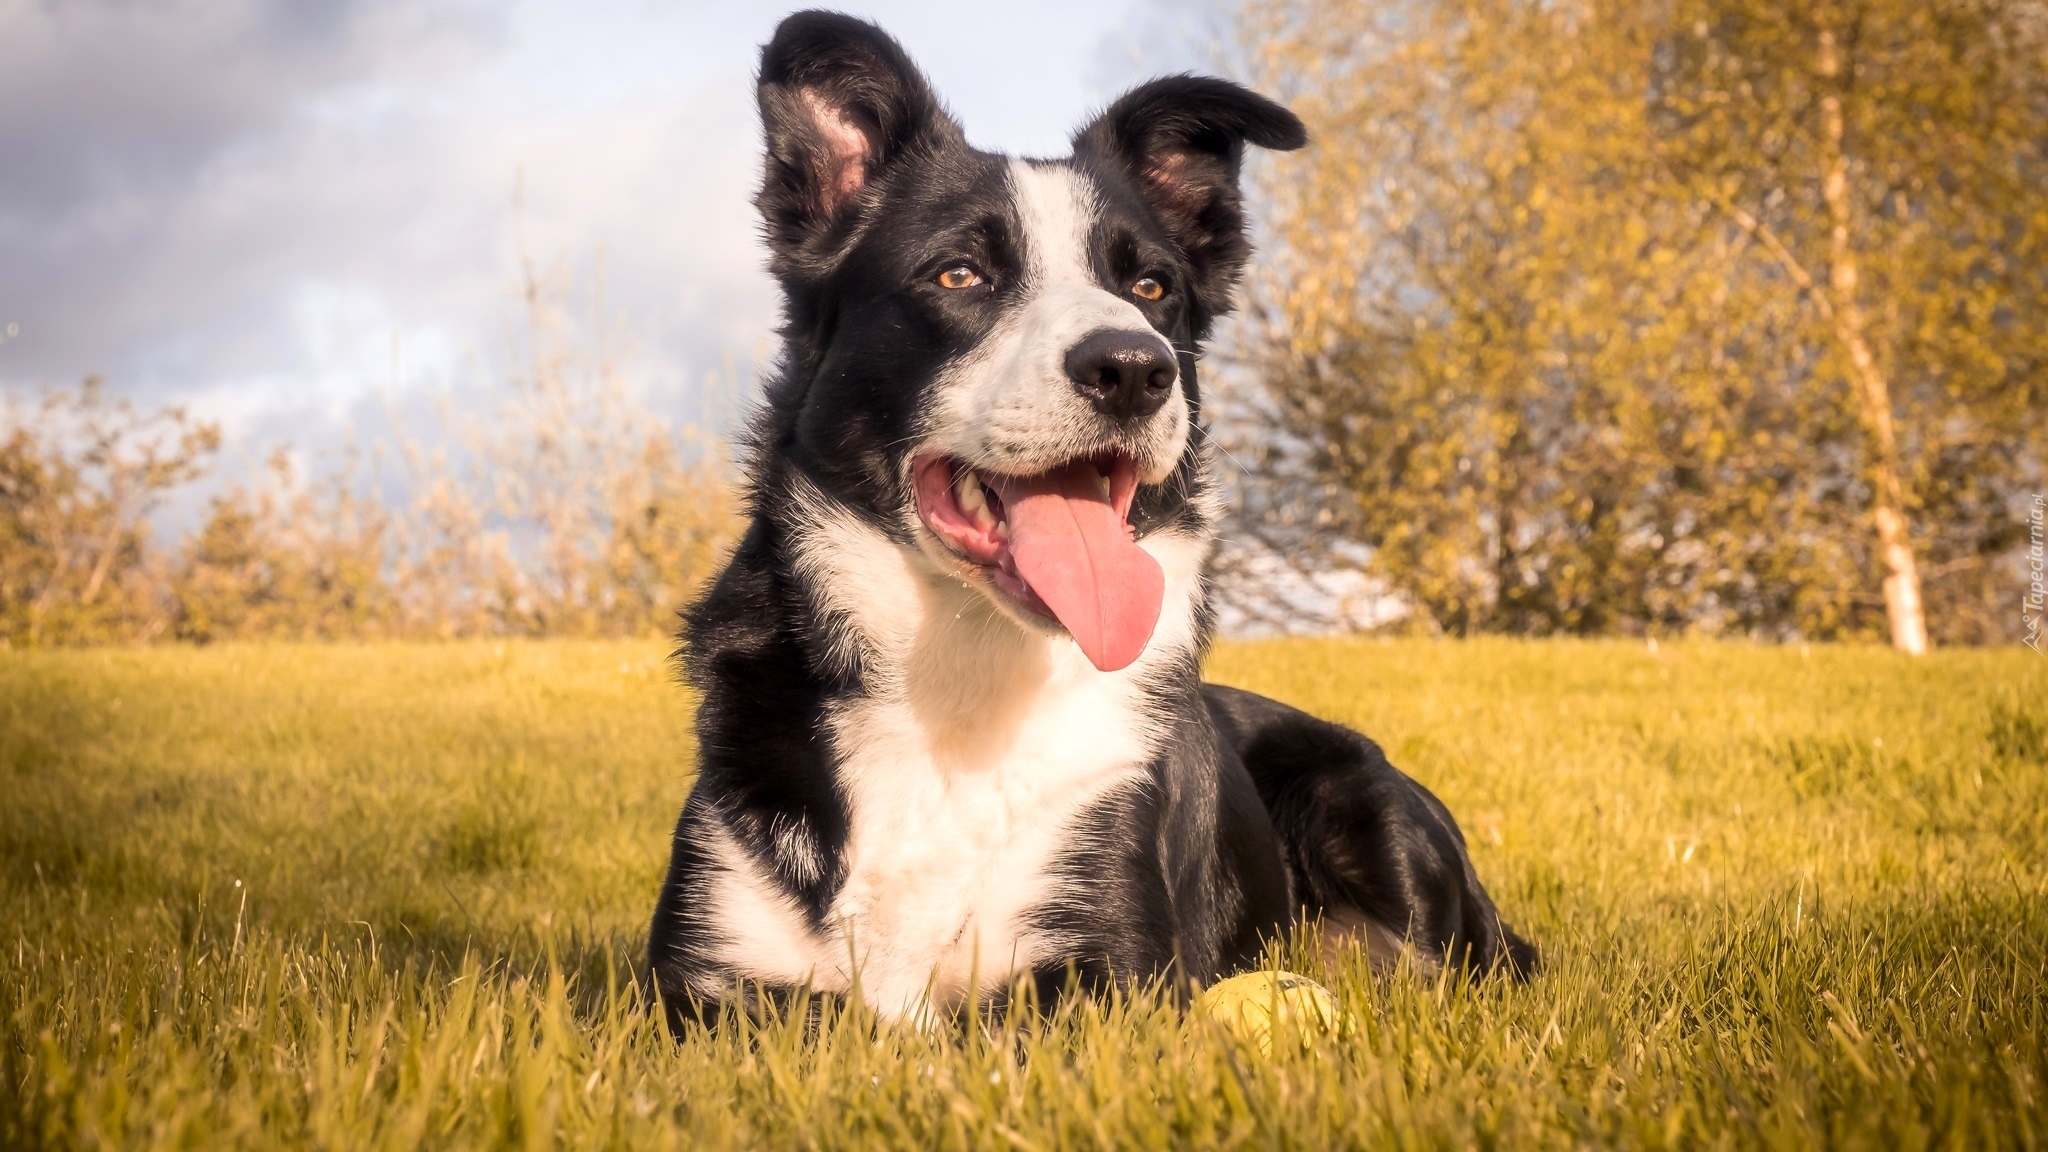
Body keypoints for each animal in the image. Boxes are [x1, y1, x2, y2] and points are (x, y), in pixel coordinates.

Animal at [647, 13, 1531, 1020]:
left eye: (1151, 290)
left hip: (1368, 808)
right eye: (960, 274)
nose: (1135, 368)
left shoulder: (1106, 968)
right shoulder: (708, 981)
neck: (964, 674)